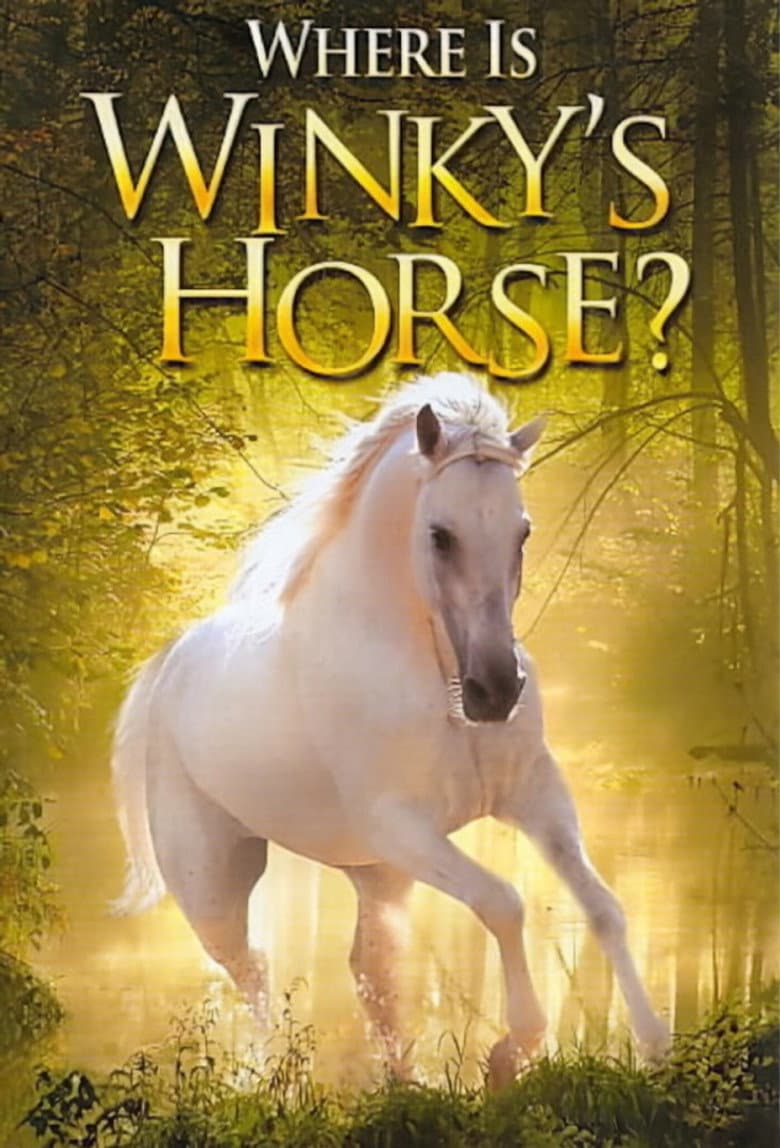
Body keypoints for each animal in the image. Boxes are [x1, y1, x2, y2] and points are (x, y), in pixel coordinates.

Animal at [112, 372, 669, 1086]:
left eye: (522, 531)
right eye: (440, 534)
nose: (495, 692)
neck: (438, 680)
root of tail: (170, 661)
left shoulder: (535, 796)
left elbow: (603, 908)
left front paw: (657, 1045)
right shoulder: (402, 827)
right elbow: (504, 901)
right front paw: (511, 1049)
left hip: (376, 874)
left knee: (368, 966)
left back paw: (406, 1082)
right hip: (213, 881)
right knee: (252, 969)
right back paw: (278, 1083)